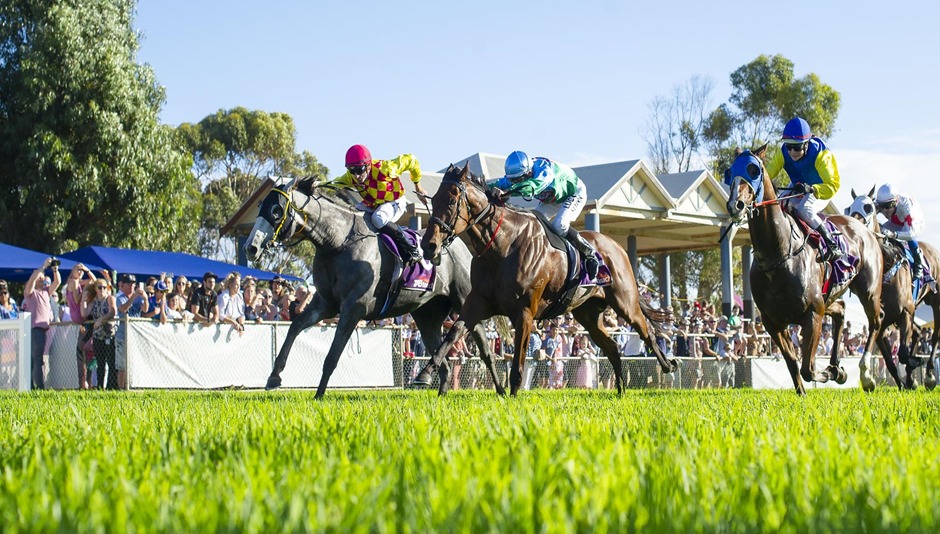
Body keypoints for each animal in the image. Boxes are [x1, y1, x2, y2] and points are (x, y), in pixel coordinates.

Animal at [244, 177, 506, 397]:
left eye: (276, 211)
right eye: (261, 208)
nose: (250, 248)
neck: (337, 242)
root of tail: (460, 244)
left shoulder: (353, 308)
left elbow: (332, 355)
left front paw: (318, 396)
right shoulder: (326, 303)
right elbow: (295, 325)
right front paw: (274, 377)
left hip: (465, 302)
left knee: (483, 348)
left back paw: (501, 390)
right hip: (427, 316)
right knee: (441, 359)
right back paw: (437, 390)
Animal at [420, 163, 677, 396]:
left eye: (451, 202)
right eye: (433, 200)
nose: (428, 245)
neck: (503, 245)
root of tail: (618, 247)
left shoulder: (525, 311)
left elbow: (518, 362)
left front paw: (513, 397)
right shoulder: (477, 303)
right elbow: (452, 334)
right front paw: (425, 372)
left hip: (625, 303)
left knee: (646, 331)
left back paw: (667, 365)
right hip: (588, 314)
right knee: (613, 347)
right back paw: (621, 390)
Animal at [725, 145, 884, 394]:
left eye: (753, 170)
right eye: (729, 171)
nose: (736, 205)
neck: (777, 255)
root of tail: (863, 227)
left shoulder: (812, 313)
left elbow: (808, 368)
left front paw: (831, 373)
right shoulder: (773, 322)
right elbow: (793, 363)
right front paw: (810, 387)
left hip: (868, 291)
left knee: (876, 321)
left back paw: (865, 375)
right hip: (829, 297)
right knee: (840, 310)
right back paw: (838, 366)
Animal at [845, 188, 938, 390]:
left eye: (868, 207)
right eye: (849, 208)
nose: (852, 225)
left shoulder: (905, 312)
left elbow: (902, 353)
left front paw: (915, 363)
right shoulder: (881, 320)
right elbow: (890, 360)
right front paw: (902, 382)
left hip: (935, 303)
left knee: (935, 336)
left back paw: (928, 375)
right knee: (918, 332)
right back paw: (911, 379)